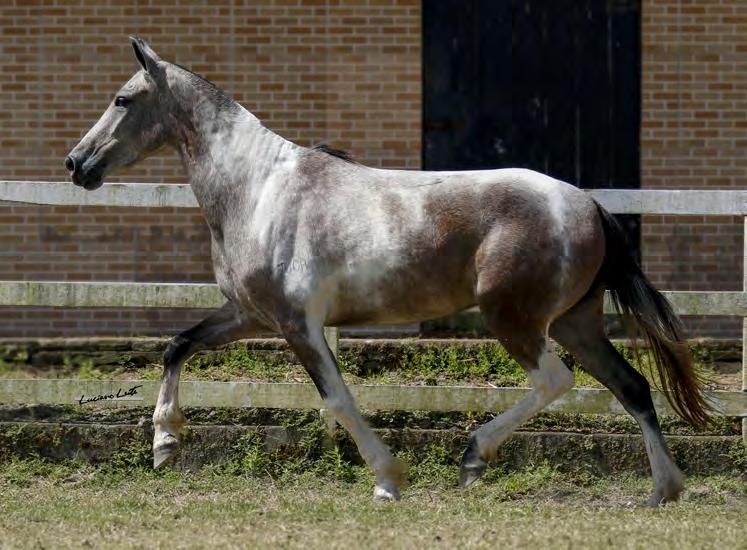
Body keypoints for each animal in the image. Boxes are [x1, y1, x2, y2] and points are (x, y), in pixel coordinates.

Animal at [67, 36, 712, 506]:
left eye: (123, 99)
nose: (77, 163)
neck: (258, 189)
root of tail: (589, 205)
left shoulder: (298, 324)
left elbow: (337, 400)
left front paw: (388, 480)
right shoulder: (250, 316)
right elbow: (177, 345)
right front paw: (165, 443)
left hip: (515, 319)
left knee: (555, 382)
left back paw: (474, 456)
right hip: (578, 323)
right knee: (632, 386)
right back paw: (664, 489)